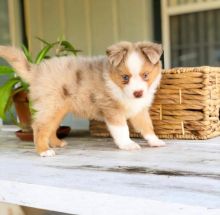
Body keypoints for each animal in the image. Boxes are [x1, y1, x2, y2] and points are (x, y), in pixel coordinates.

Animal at [0, 41, 165, 156]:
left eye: (145, 75)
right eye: (125, 77)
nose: (138, 93)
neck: (118, 87)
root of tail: (36, 70)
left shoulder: (139, 110)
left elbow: (147, 126)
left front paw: (155, 141)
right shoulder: (112, 110)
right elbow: (122, 130)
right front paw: (127, 145)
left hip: (58, 109)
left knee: (51, 127)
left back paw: (57, 143)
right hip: (50, 106)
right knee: (40, 127)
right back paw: (44, 151)